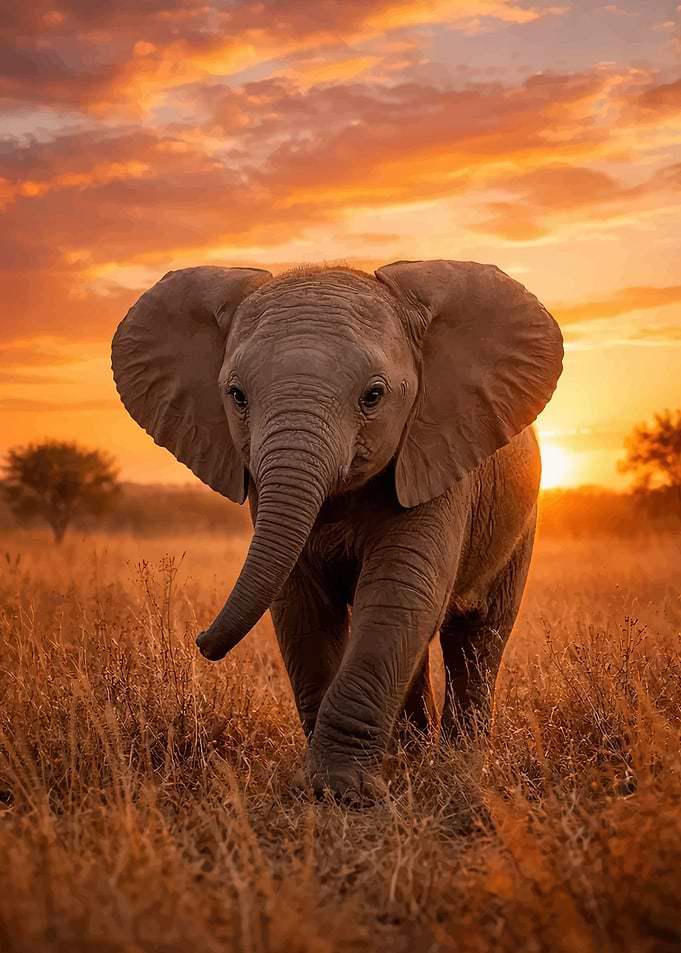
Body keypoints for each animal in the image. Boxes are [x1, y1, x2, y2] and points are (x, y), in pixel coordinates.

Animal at [112, 259, 563, 802]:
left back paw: (456, 771)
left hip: (521, 520)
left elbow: (398, 594)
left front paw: (343, 791)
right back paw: (408, 758)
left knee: (477, 636)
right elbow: (301, 605)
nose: (201, 642)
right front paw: (327, 785)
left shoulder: (436, 459)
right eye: (236, 397)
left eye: (374, 396)